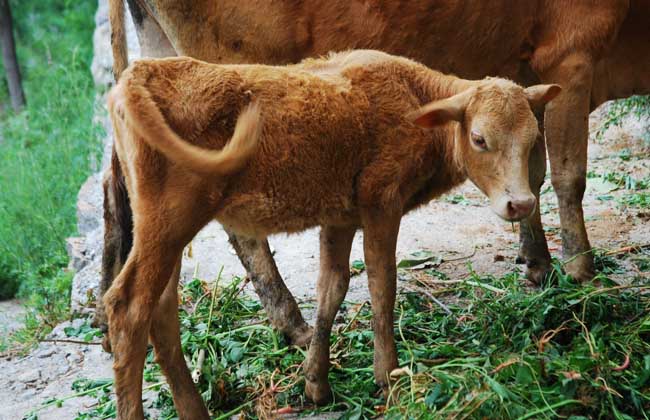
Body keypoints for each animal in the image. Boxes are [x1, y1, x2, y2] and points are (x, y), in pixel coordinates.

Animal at [97, 0, 648, 346]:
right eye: (476, 139)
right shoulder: (572, 57)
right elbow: (569, 176)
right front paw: (580, 269)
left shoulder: (528, 81)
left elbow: (530, 174)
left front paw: (538, 263)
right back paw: (294, 324)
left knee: (117, 186)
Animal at [105, 50, 556, 418]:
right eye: (480, 139)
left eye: (534, 138)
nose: (521, 204)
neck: (413, 99)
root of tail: (142, 71)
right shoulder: (381, 202)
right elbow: (381, 284)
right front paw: (388, 376)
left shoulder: (340, 217)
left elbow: (332, 288)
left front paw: (316, 384)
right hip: (168, 222)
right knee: (129, 308)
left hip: (167, 231)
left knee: (162, 311)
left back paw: (195, 410)